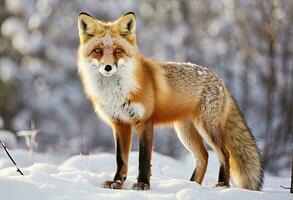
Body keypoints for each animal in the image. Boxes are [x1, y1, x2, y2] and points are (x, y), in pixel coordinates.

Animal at [77, 12, 262, 191]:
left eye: (117, 50)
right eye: (98, 50)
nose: (108, 67)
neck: (117, 91)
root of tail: (220, 80)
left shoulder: (144, 121)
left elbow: (144, 158)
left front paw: (143, 184)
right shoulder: (120, 123)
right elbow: (120, 159)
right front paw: (117, 183)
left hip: (206, 128)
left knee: (224, 153)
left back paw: (221, 185)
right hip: (185, 132)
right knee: (203, 156)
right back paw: (191, 185)